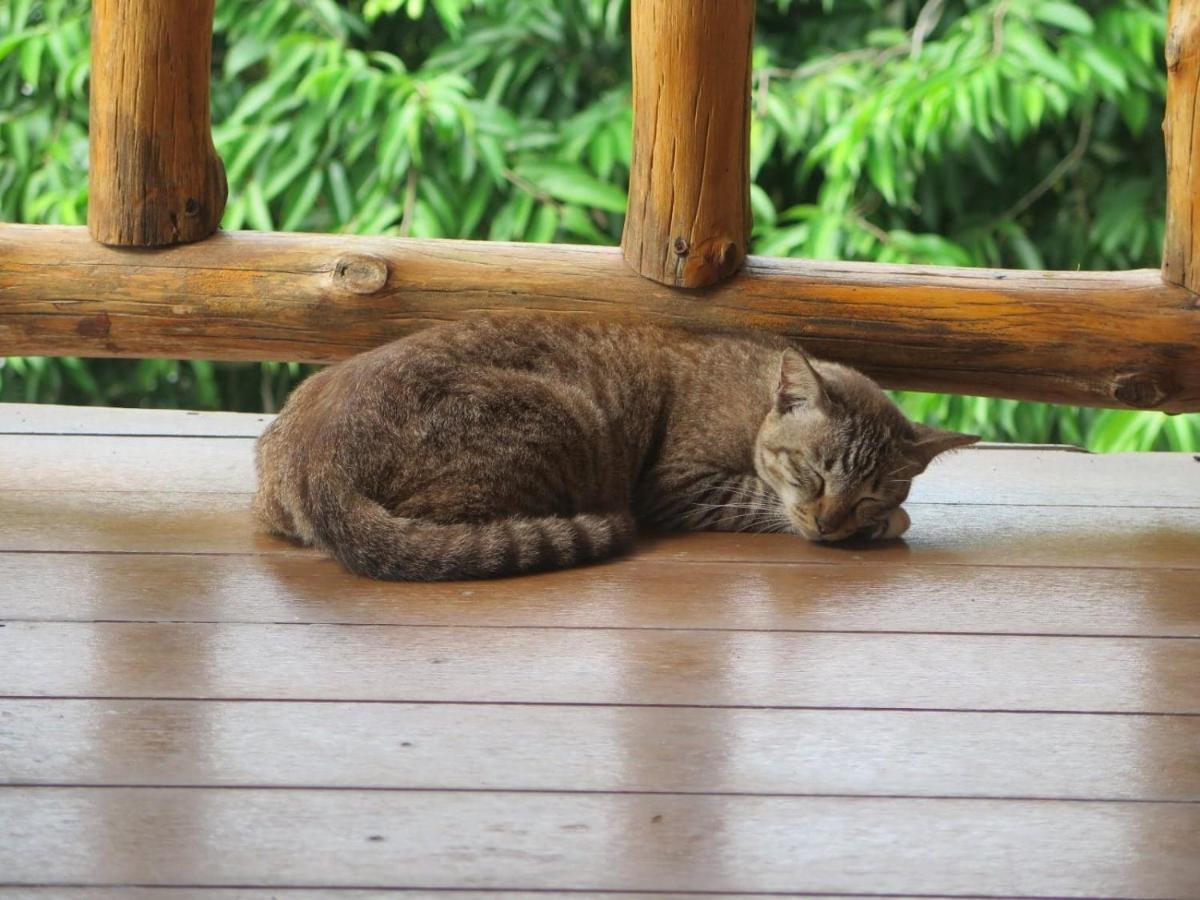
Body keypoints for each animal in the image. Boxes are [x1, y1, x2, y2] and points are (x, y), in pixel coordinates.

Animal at [253, 314, 974, 585]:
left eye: (870, 489)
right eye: (813, 471)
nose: (832, 524)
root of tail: (318, 459)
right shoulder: (679, 483)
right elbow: (760, 499)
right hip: (564, 419)